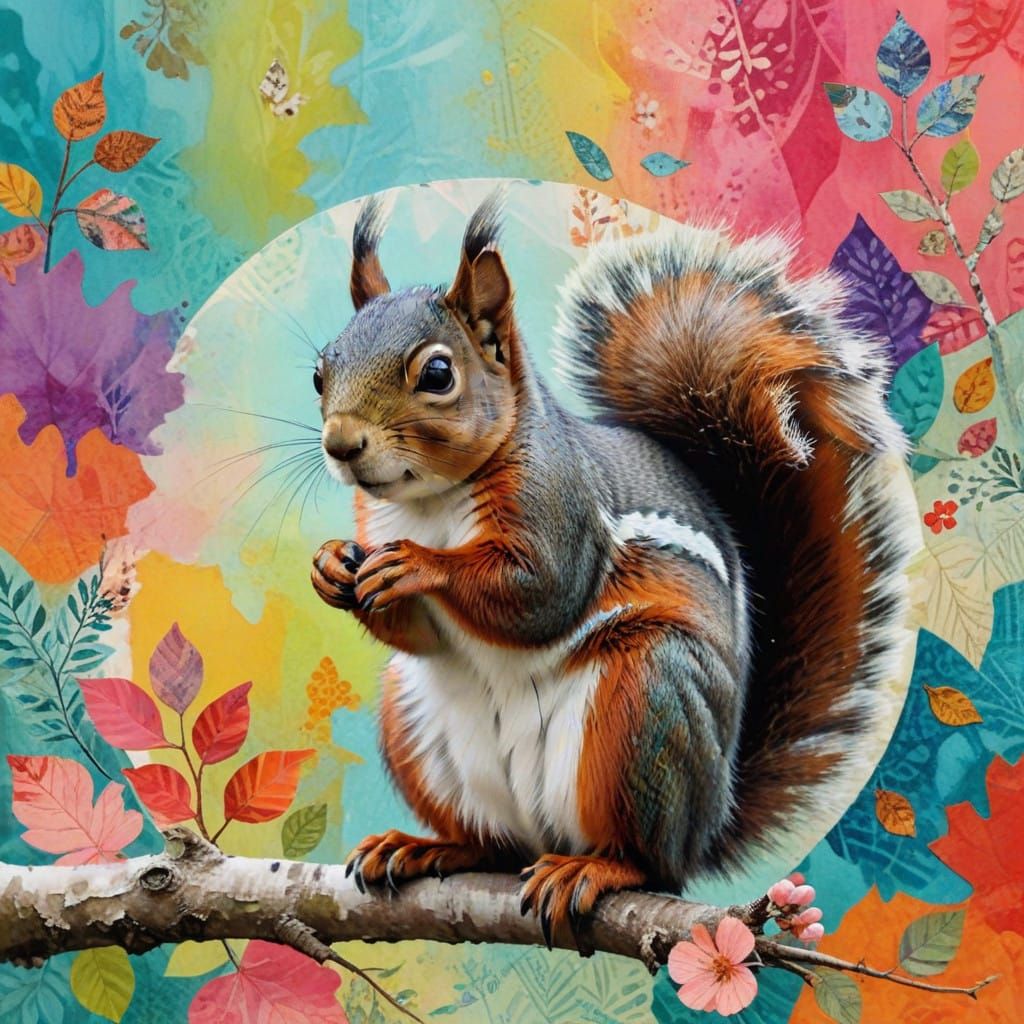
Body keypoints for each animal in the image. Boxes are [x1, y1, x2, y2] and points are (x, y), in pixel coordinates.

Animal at [310, 190, 917, 945]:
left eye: (437, 374)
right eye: (319, 373)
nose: (341, 443)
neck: (432, 501)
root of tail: (707, 823)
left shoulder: (561, 510)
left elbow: (539, 594)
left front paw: (421, 565)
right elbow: (418, 634)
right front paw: (331, 565)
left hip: (646, 704)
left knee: (647, 861)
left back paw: (593, 869)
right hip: (420, 723)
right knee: (494, 846)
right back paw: (429, 847)